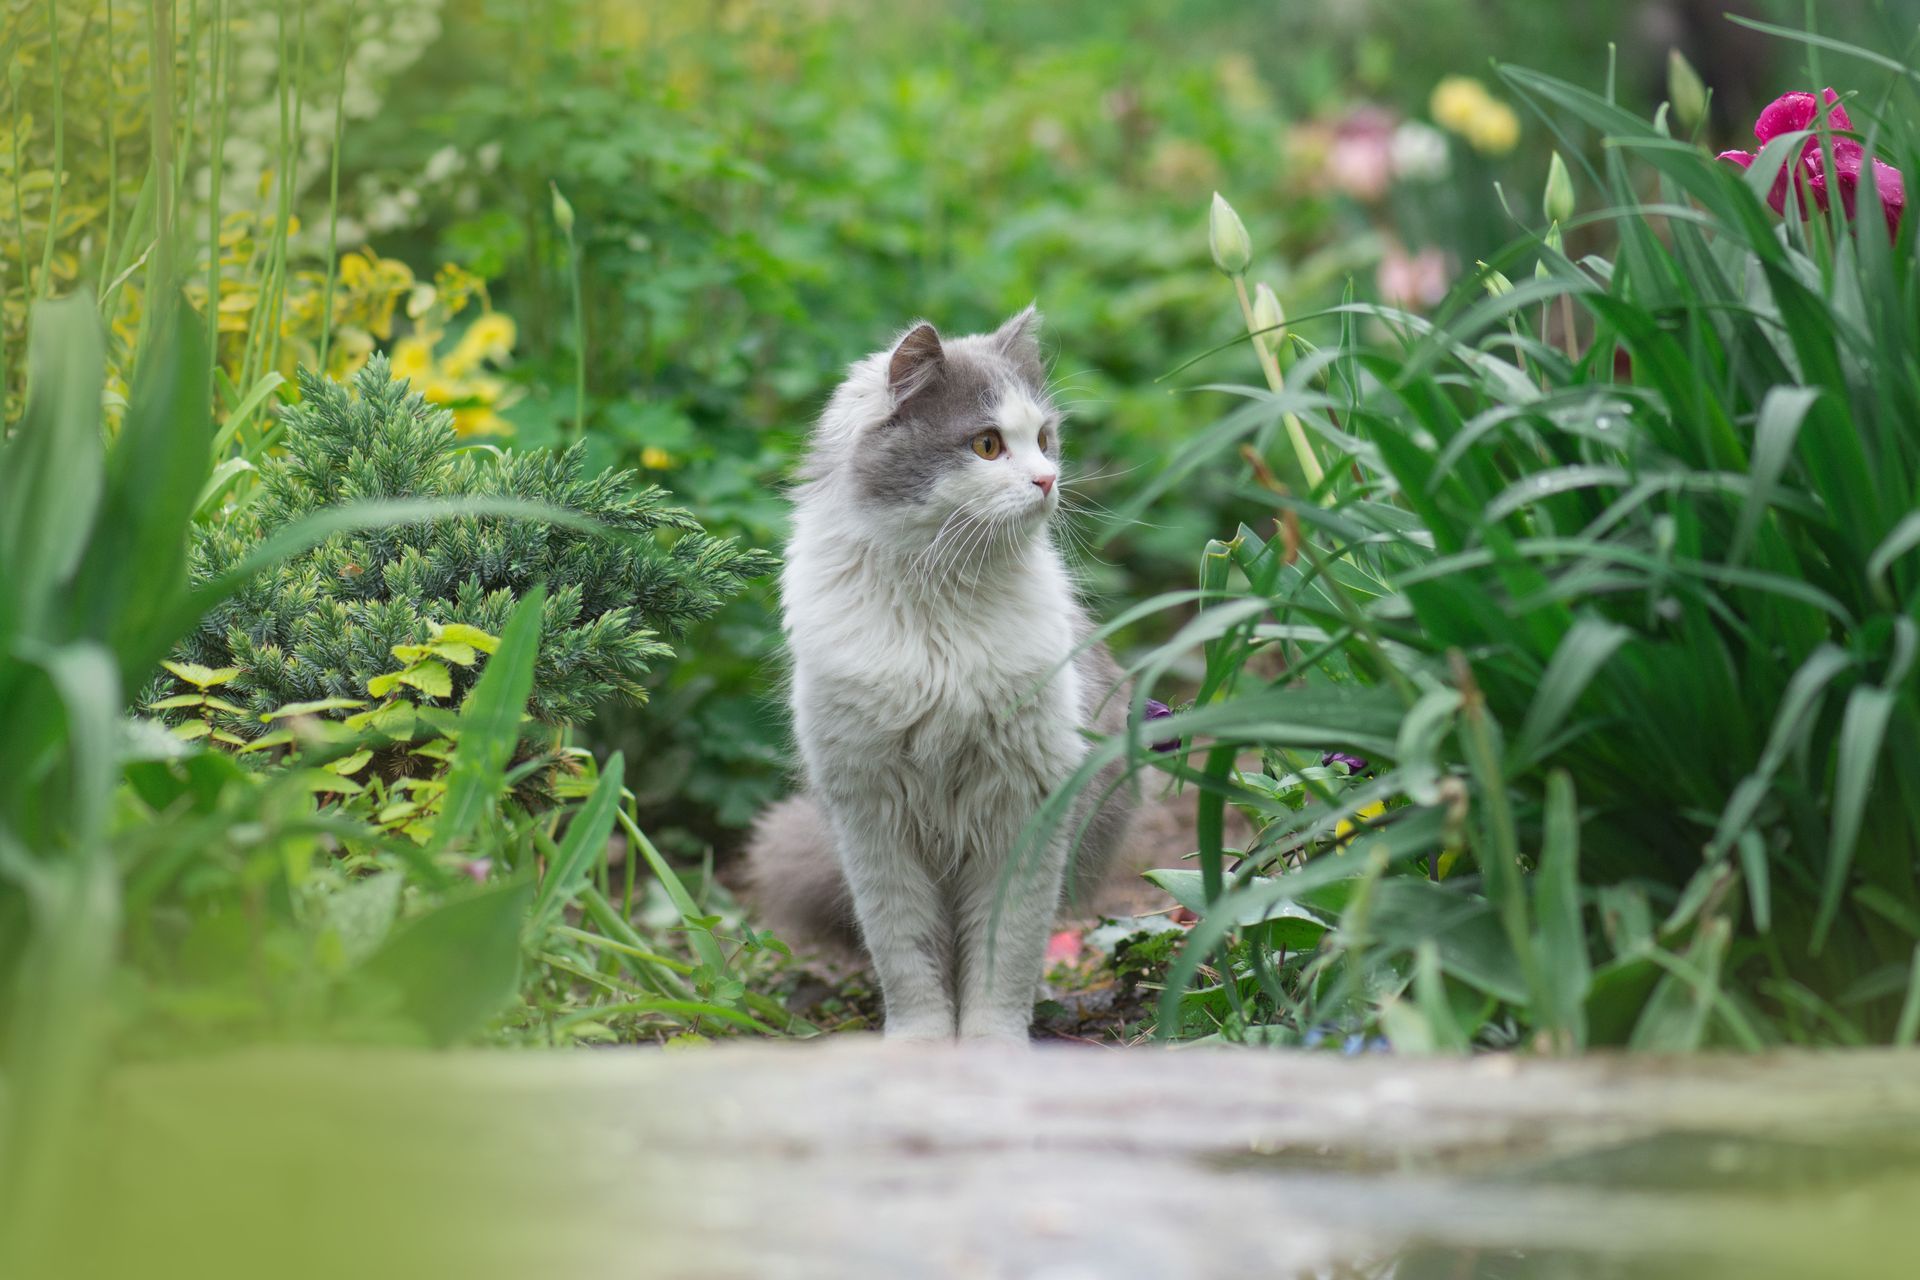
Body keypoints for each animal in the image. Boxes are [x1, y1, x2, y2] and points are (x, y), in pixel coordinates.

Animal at [744, 307, 1136, 1043]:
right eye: (987, 445)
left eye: (1044, 440)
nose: (1047, 481)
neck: (940, 604)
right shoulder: (872, 814)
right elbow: (908, 955)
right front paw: (924, 1043)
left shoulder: (1024, 805)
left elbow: (1004, 954)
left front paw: (990, 1047)